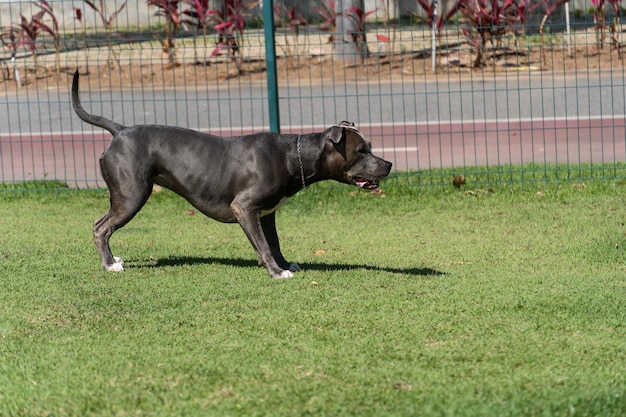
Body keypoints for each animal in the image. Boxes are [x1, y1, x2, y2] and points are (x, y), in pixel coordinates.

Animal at [69, 71, 390, 278]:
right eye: (362, 150)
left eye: (370, 147)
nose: (388, 164)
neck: (293, 155)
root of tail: (120, 131)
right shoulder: (244, 207)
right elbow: (263, 244)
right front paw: (276, 272)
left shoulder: (266, 213)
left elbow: (273, 242)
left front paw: (285, 264)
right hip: (132, 196)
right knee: (102, 228)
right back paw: (110, 265)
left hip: (124, 196)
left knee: (100, 224)